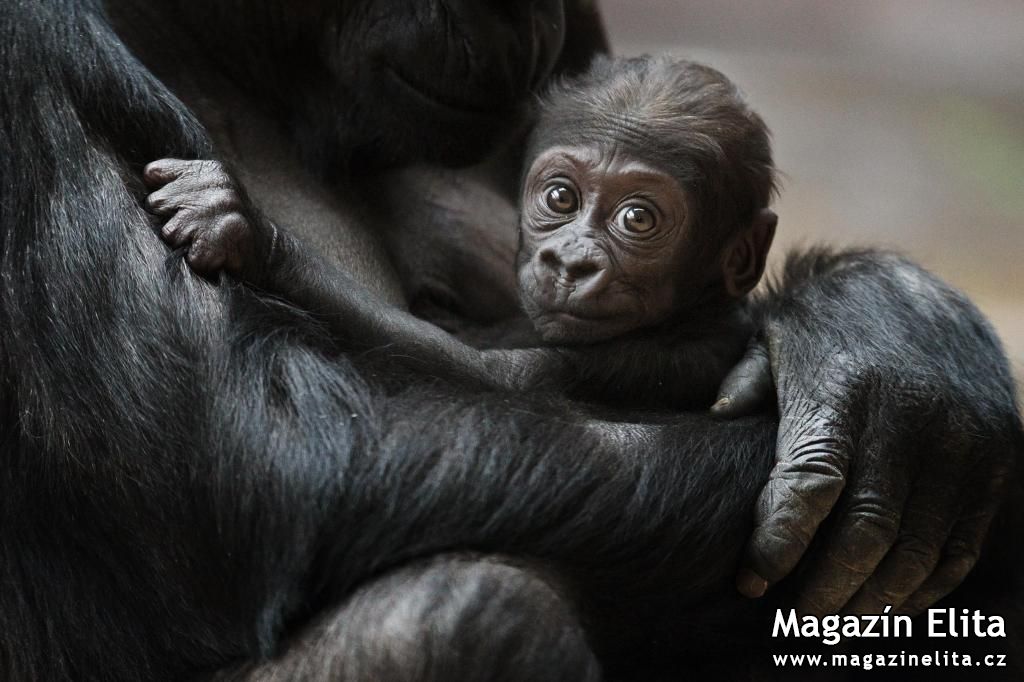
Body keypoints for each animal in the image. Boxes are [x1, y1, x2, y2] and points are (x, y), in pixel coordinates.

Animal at [144, 55, 774, 405]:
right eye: (560, 198)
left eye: (637, 219)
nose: (571, 263)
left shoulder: (664, 358)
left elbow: (485, 377)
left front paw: (250, 233)